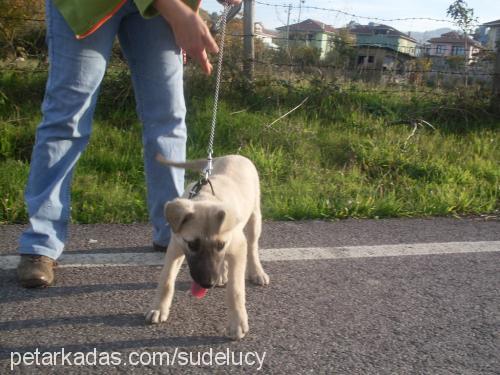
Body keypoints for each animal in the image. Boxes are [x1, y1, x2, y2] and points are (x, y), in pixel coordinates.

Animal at [145, 154, 270, 340]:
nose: (207, 283)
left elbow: (235, 290)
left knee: (253, 246)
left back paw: (257, 273)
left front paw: (237, 323)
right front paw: (159, 309)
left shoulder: (237, 247)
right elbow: (166, 279)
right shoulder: (176, 246)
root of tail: (233, 155)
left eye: (220, 244)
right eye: (192, 244)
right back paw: (223, 275)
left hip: (255, 217)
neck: (206, 198)